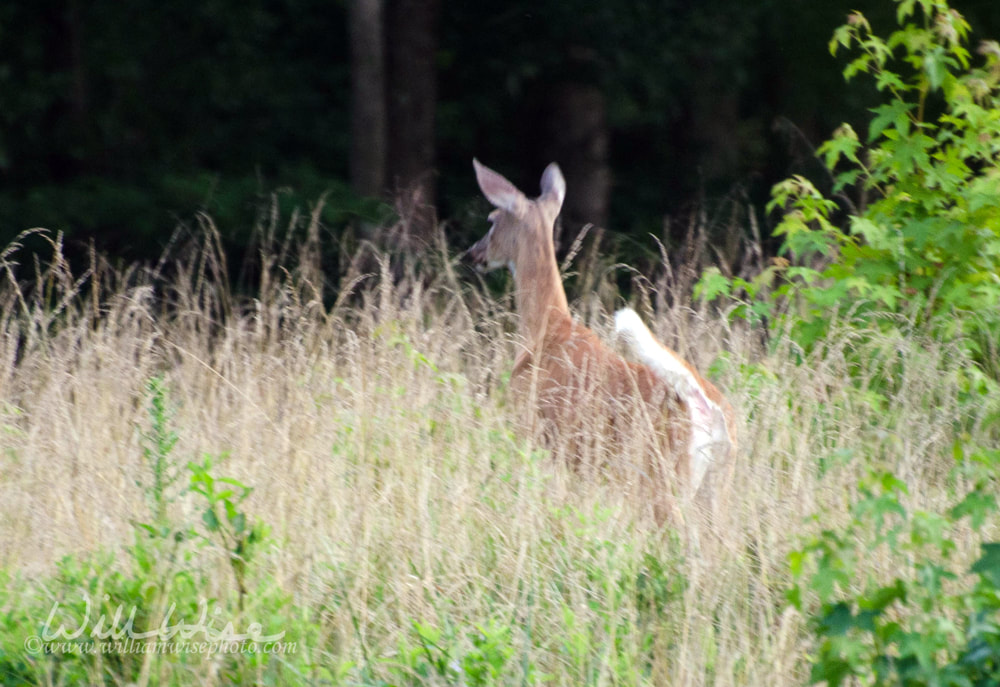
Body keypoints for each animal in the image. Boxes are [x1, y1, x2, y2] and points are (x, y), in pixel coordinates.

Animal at [466, 161, 736, 516]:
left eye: (491, 220)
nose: (472, 254)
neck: (544, 330)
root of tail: (704, 404)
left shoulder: (531, 429)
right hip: (714, 482)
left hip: (661, 475)